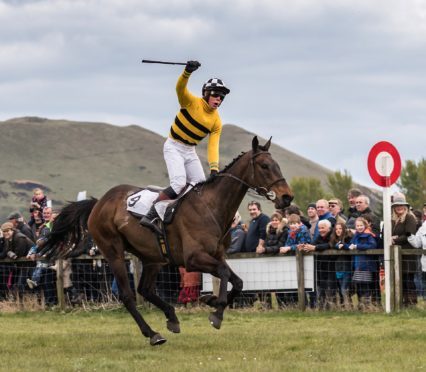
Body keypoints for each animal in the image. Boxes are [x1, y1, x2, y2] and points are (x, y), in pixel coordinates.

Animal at [45, 137, 292, 346]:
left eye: (277, 164)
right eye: (264, 166)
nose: (287, 197)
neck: (212, 207)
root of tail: (98, 202)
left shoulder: (217, 255)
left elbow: (237, 281)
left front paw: (212, 301)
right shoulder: (194, 258)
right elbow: (223, 274)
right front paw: (216, 310)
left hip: (153, 257)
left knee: (145, 289)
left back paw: (171, 317)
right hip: (113, 251)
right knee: (128, 295)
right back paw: (152, 334)